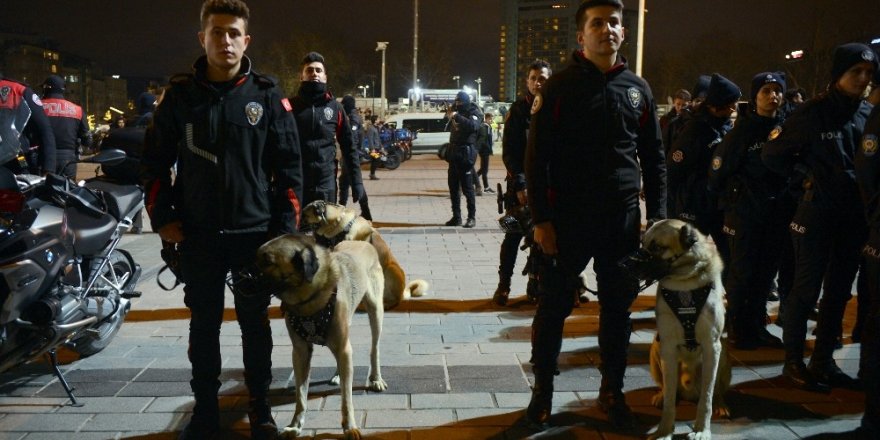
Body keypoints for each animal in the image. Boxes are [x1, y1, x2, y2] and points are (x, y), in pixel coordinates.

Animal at [256, 235, 390, 438]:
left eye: (268, 261)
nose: (239, 276)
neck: (308, 300)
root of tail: (362, 242)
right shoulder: (300, 352)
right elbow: (301, 395)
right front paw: (295, 425)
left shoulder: (342, 346)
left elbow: (346, 398)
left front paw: (350, 426)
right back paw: (338, 375)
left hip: (375, 310)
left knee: (374, 347)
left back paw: (375, 378)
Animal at [636, 220, 732, 440]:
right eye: (643, 243)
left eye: (656, 247)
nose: (627, 264)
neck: (684, 283)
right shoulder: (668, 347)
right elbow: (670, 397)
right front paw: (664, 430)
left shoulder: (712, 346)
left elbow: (707, 396)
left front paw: (702, 430)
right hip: (655, 350)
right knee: (667, 388)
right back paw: (661, 396)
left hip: (723, 353)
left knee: (716, 391)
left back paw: (721, 405)